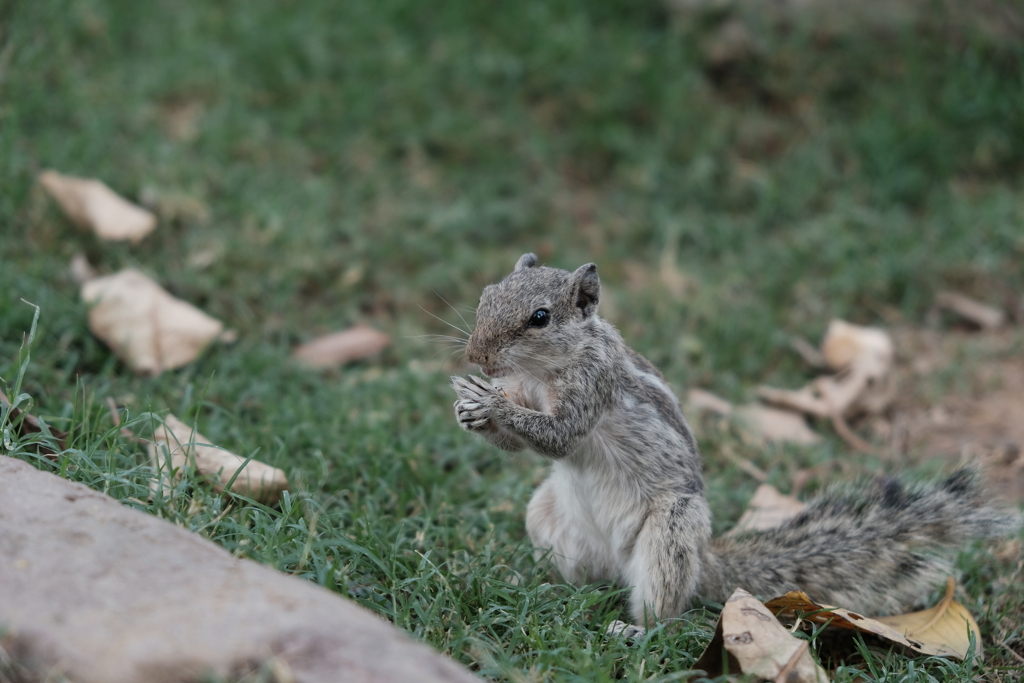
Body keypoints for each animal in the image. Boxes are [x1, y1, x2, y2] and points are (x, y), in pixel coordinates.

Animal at [448, 253, 1015, 634]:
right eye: (487, 294)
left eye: (540, 317)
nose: (477, 356)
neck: (543, 373)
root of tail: (706, 563)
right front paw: (470, 410)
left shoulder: (594, 384)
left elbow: (561, 436)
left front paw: (491, 404)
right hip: (547, 516)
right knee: (585, 578)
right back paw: (540, 589)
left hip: (671, 532)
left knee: (663, 607)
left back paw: (635, 628)